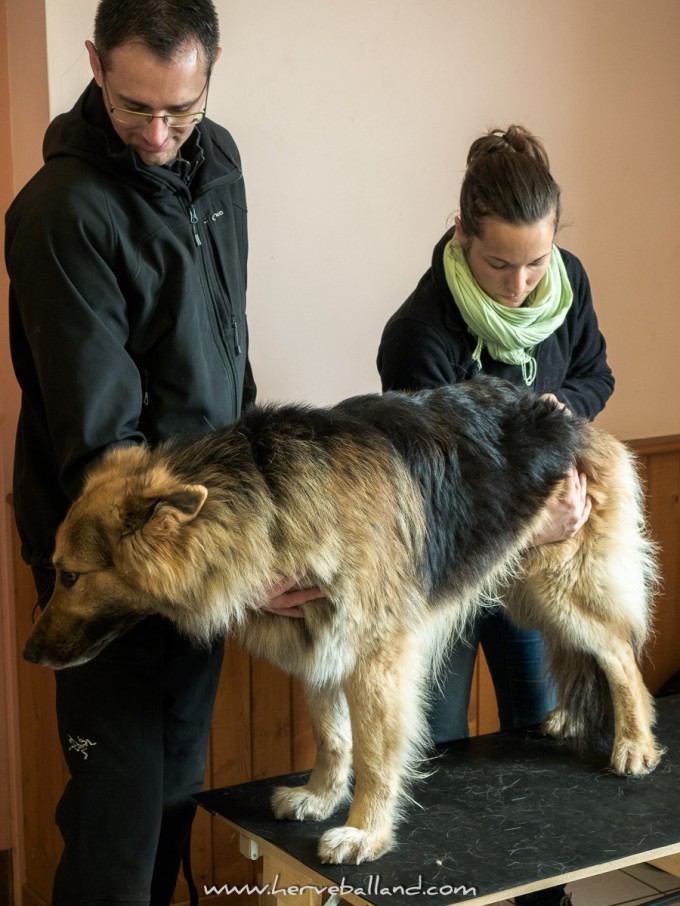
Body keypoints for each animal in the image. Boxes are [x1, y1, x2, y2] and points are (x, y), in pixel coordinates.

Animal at [23, 376, 660, 860]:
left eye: (70, 576)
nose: (27, 654)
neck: (266, 495)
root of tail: (570, 421)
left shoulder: (375, 657)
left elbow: (376, 755)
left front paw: (365, 831)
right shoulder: (321, 642)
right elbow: (332, 737)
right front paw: (322, 796)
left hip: (559, 588)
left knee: (618, 654)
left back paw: (634, 743)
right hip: (525, 589)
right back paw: (573, 718)